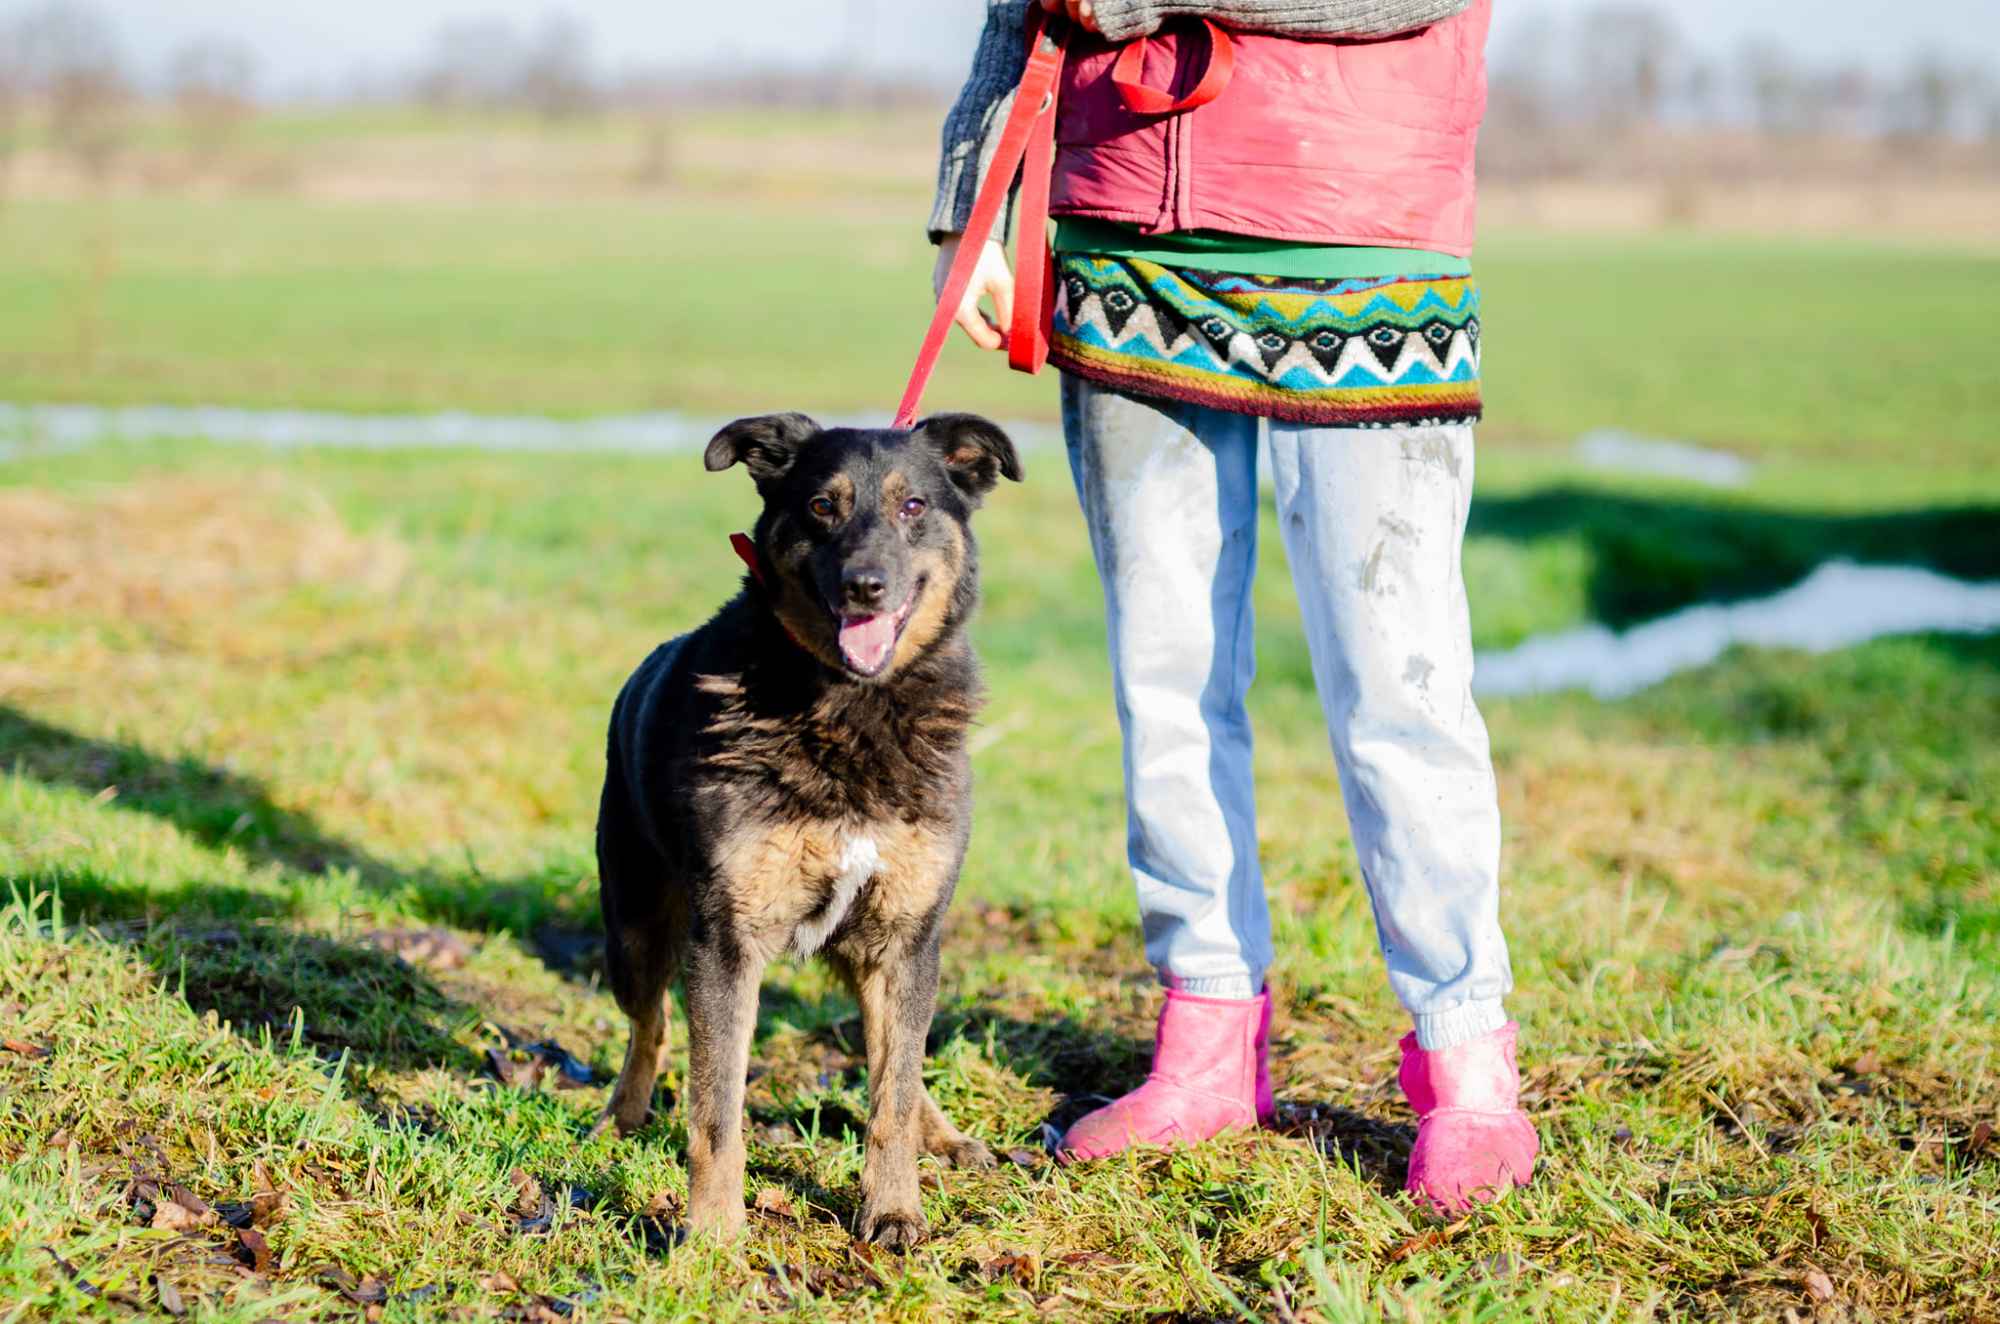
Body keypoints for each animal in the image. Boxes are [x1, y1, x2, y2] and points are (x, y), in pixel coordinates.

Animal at [588, 410, 1016, 1248]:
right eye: (822, 506)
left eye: (914, 506)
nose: (865, 587)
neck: (854, 707)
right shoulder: (725, 942)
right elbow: (715, 1109)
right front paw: (713, 1236)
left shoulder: (905, 935)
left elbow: (893, 1093)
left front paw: (893, 1210)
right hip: (635, 927)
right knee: (650, 1026)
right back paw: (622, 1115)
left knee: (903, 1062)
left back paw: (944, 1134)